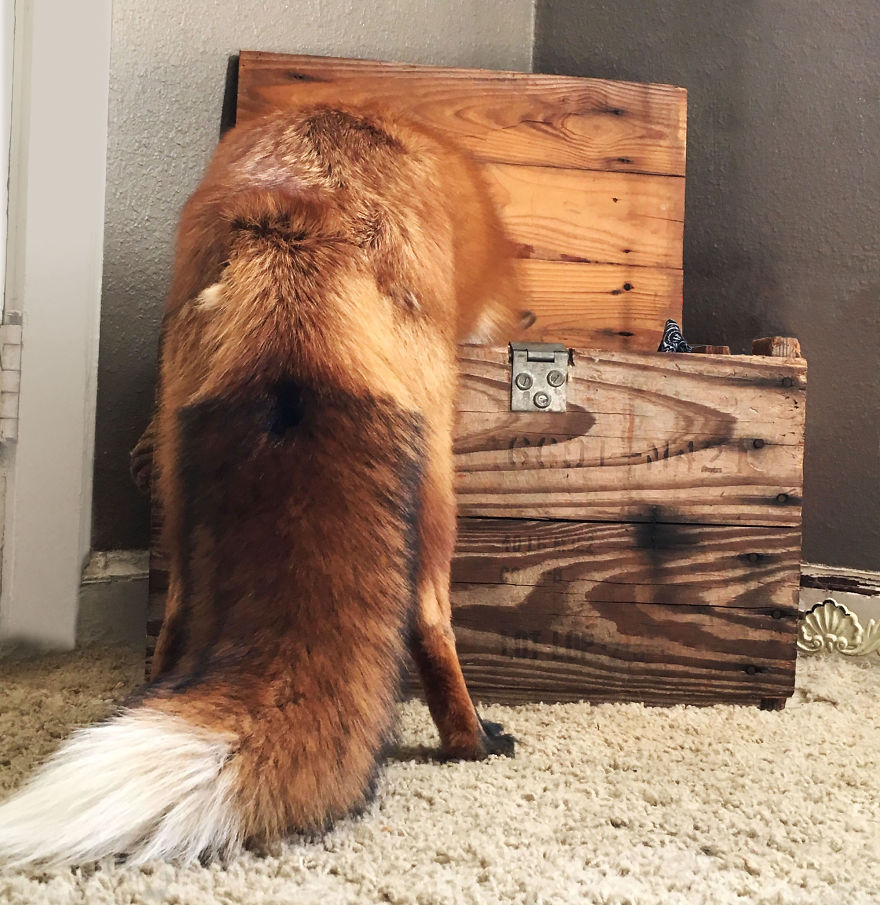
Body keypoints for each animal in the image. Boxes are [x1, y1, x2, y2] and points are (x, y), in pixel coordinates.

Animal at [0, 105, 523, 867]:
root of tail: (298, 218)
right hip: (434, 494)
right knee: (430, 622)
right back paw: (472, 741)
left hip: (180, 500)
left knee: (178, 620)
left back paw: (145, 697)